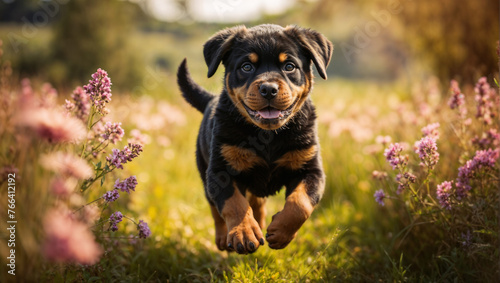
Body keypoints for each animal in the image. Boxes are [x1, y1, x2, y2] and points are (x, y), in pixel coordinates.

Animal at [176, 24, 332, 255]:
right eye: (247, 67)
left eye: (289, 66)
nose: (268, 89)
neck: (268, 136)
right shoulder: (220, 171)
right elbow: (233, 203)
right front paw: (243, 233)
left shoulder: (310, 169)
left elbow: (300, 203)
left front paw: (281, 232)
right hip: (204, 169)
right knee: (215, 206)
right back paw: (224, 237)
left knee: (257, 201)